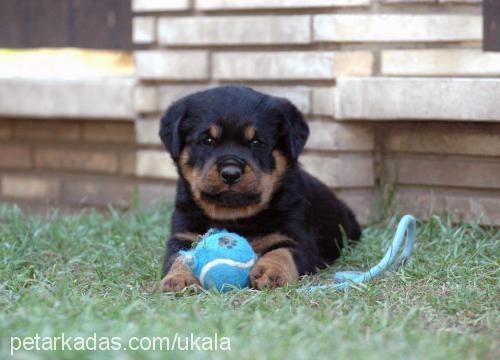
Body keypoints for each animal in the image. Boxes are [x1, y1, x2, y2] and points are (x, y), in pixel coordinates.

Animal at [158, 86, 358, 292]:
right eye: (207, 140)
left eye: (256, 142)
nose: (231, 173)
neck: (234, 217)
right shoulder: (183, 235)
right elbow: (180, 257)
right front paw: (178, 278)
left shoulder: (297, 238)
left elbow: (282, 252)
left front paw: (272, 272)